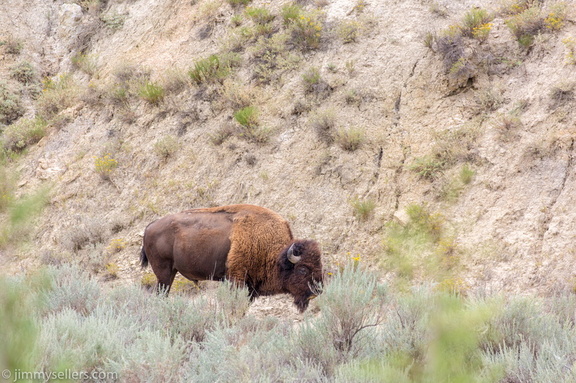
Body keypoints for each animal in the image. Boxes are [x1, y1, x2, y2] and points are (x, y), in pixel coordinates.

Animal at [138, 204, 322, 312]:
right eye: (303, 269)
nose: (317, 290)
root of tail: (150, 226)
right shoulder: (237, 280)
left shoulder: (250, 288)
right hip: (164, 272)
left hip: (170, 273)